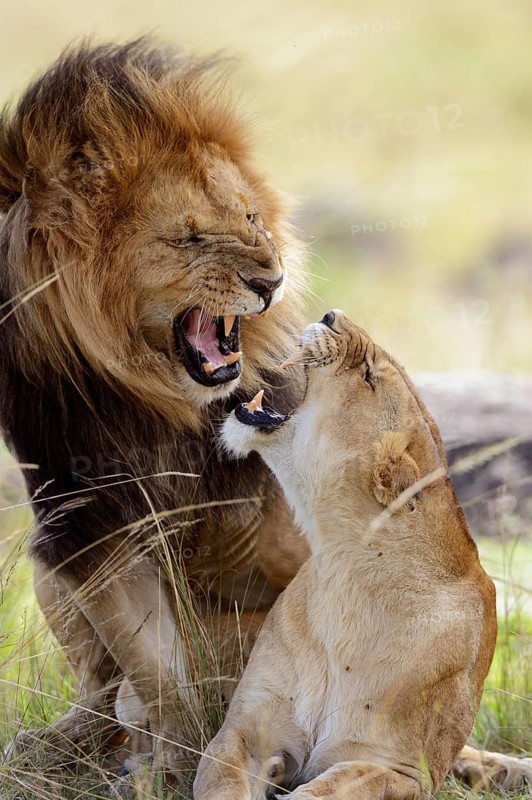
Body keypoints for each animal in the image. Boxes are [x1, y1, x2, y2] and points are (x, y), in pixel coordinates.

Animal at [195, 309, 498, 800]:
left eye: (369, 376)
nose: (330, 315)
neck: (343, 566)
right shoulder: (242, 732)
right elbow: (221, 784)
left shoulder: (401, 770)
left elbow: (326, 790)